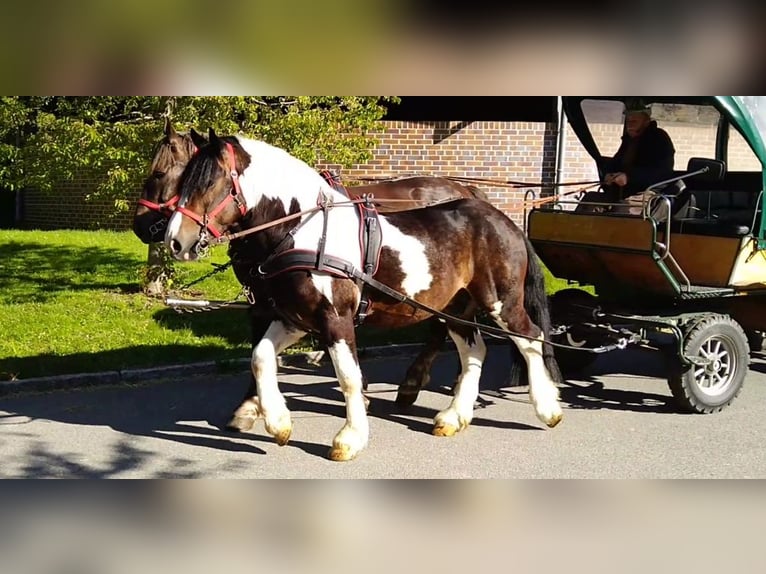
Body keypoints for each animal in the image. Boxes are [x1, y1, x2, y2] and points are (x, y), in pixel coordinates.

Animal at [132, 122, 492, 434]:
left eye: (161, 173)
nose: (144, 228)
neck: (293, 224)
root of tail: (464, 188)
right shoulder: (266, 302)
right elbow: (260, 350)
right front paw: (254, 406)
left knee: (441, 330)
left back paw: (415, 384)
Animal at [163, 129, 564, 462]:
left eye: (210, 182)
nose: (175, 241)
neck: (305, 232)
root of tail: (502, 218)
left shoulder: (335, 318)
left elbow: (348, 376)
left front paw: (350, 438)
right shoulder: (295, 318)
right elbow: (261, 357)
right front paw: (277, 422)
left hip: (501, 301)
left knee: (531, 339)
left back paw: (548, 408)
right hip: (456, 307)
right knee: (474, 350)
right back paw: (453, 416)